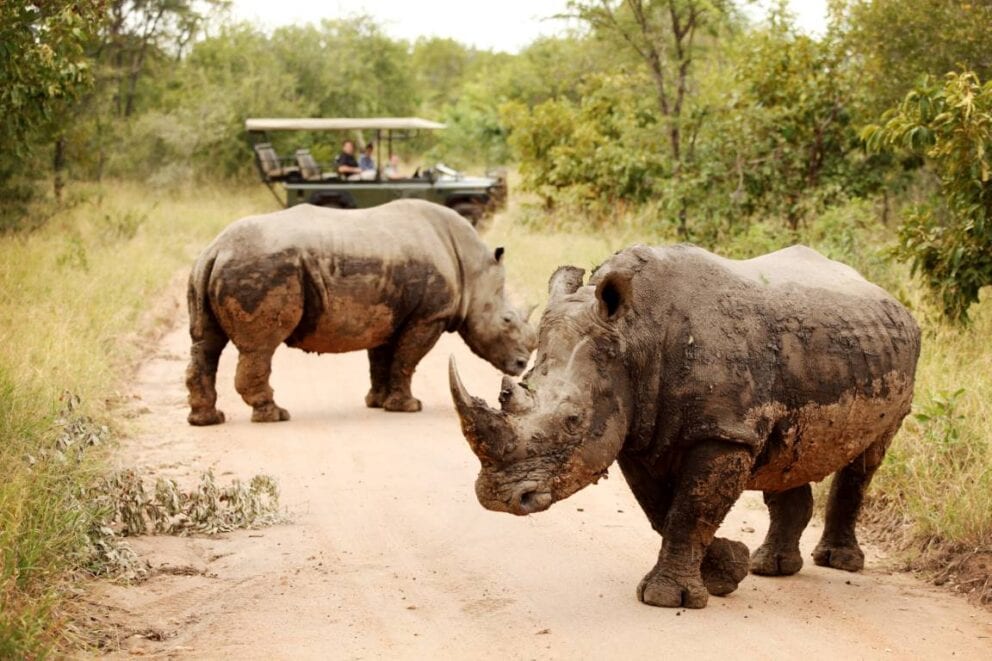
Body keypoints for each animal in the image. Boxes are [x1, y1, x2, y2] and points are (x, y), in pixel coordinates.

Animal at [186, 199, 536, 425]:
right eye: (507, 320)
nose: (521, 365)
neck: (472, 268)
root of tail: (216, 249)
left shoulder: (387, 312)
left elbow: (381, 359)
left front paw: (378, 403)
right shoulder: (428, 316)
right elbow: (407, 359)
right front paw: (408, 407)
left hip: (216, 267)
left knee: (207, 345)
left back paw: (207, 420)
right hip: (261, 267)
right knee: (260, 347)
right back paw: (274, 415)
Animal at [449, 244, 920, 608]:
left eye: (573, 421)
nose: (499, 498)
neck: (635, 336)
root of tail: (890, 298)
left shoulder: (724, 432)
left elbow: (691, 509)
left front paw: (667, 598)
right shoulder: (639, 431)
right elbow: (662, 509)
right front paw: (728, 570)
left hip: (898, 355)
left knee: (866, 460)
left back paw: (838, 562)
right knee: (789, 456)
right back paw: (769, 567)